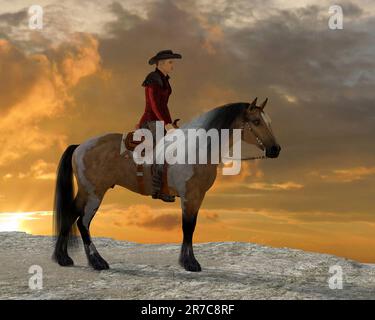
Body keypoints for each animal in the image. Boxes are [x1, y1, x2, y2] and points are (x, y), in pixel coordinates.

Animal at [53, 97, 282, 270]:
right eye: (256, 121)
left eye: (269, 121)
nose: (275, 149)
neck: (198, 150)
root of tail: (80, 146)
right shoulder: (190, 195)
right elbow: (188, 227)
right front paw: (190, 263)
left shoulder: (198, 197)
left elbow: (190, 227)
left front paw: (186, 260)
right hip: (94, 193)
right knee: (83, 223)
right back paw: (97, 262)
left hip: (86, 192)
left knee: (70, 215)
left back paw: (63, 258)